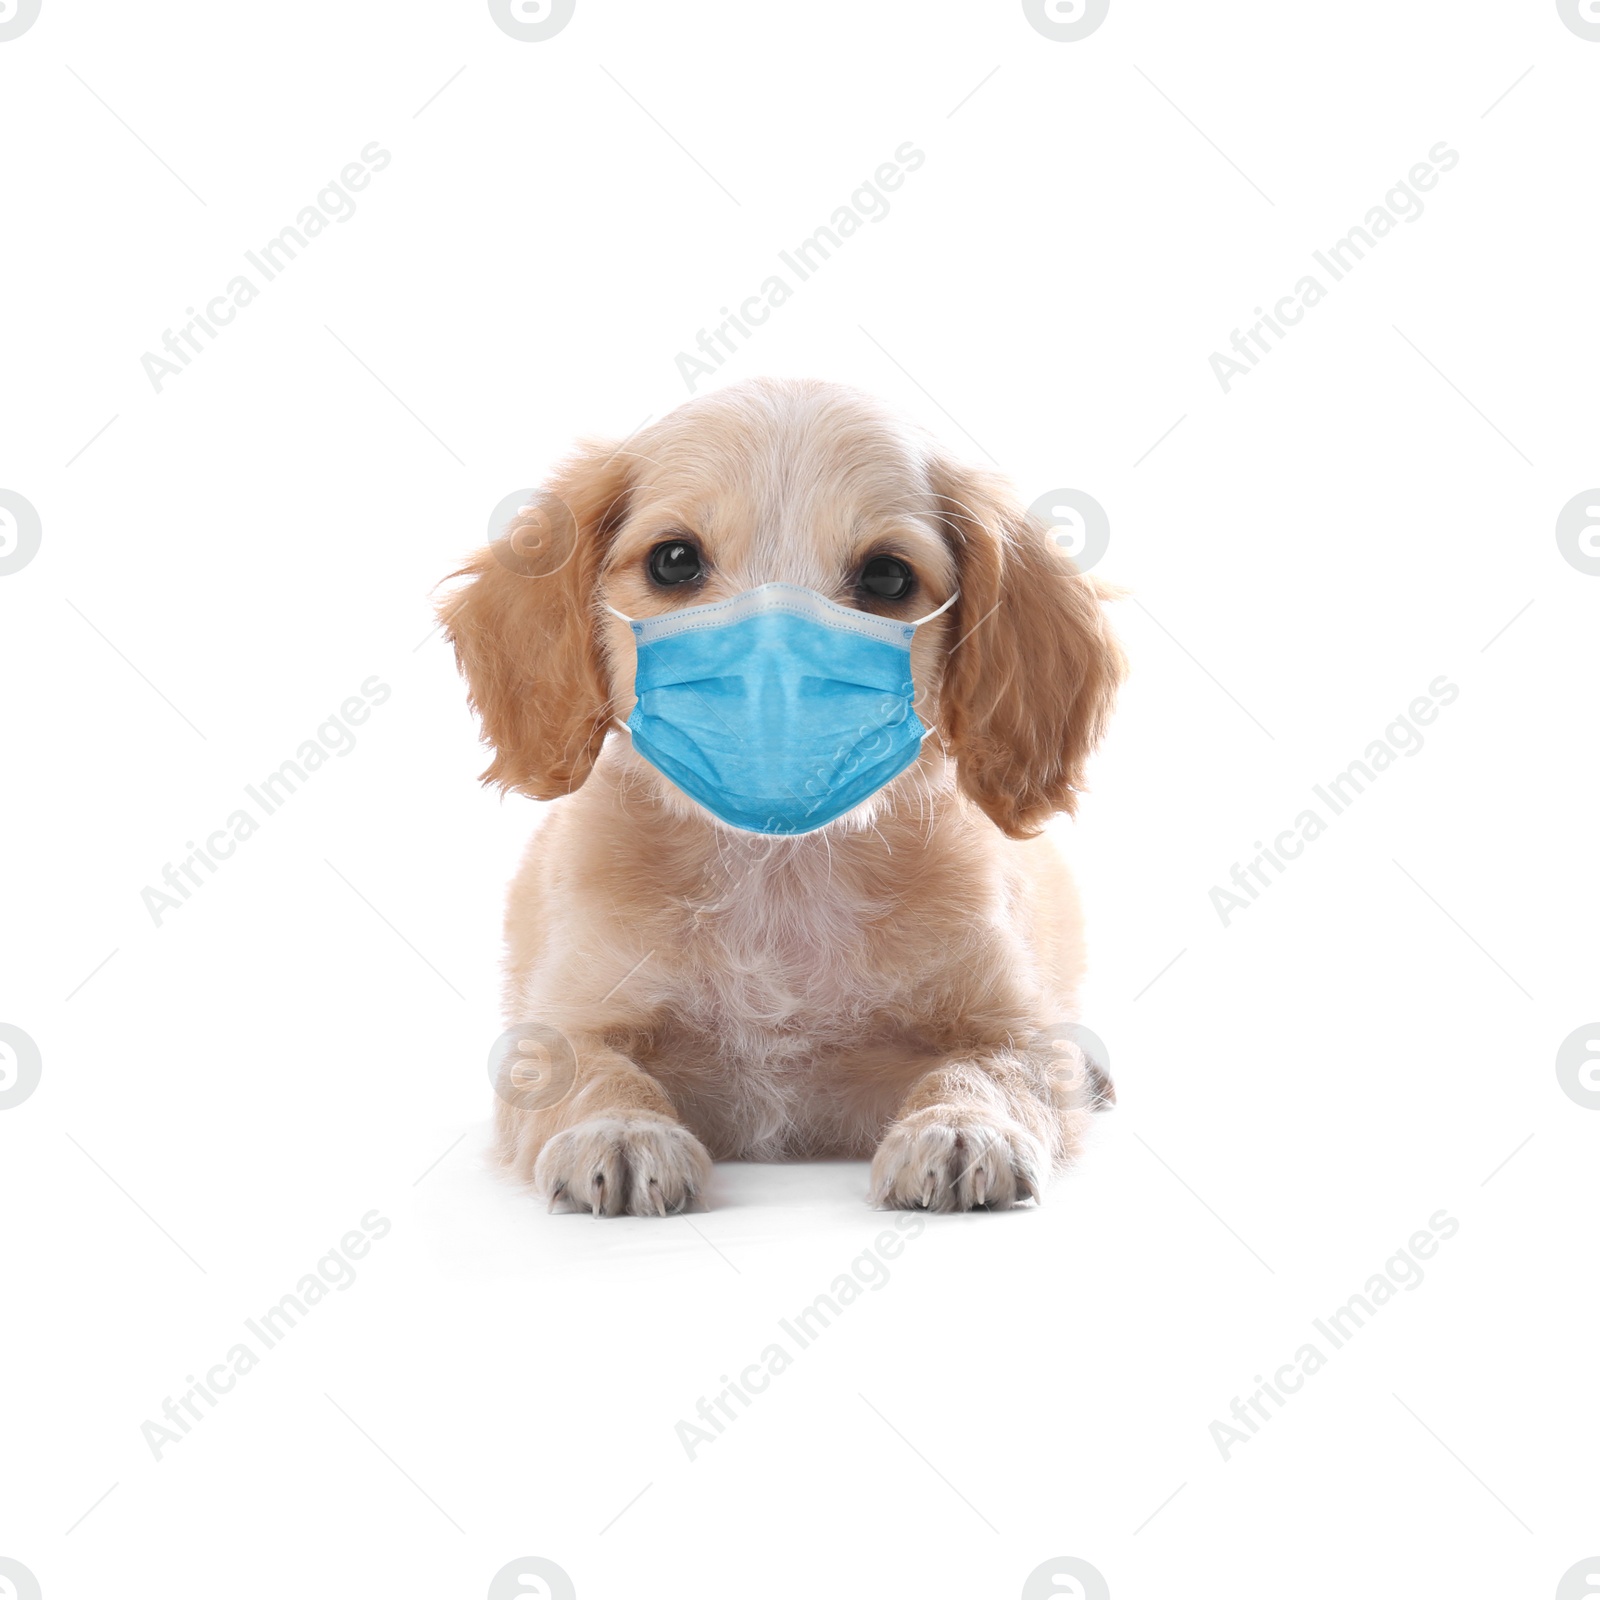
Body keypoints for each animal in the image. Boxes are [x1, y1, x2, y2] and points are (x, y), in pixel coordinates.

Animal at [444, 380, 1126, 1216]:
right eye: (674, 560)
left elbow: (988, 1069)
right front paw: (621, 1130)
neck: (779, 870)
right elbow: (592, 1073)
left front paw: (962, 1126)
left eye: (888, 577)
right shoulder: (558, 1027)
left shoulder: (1011, 1026)